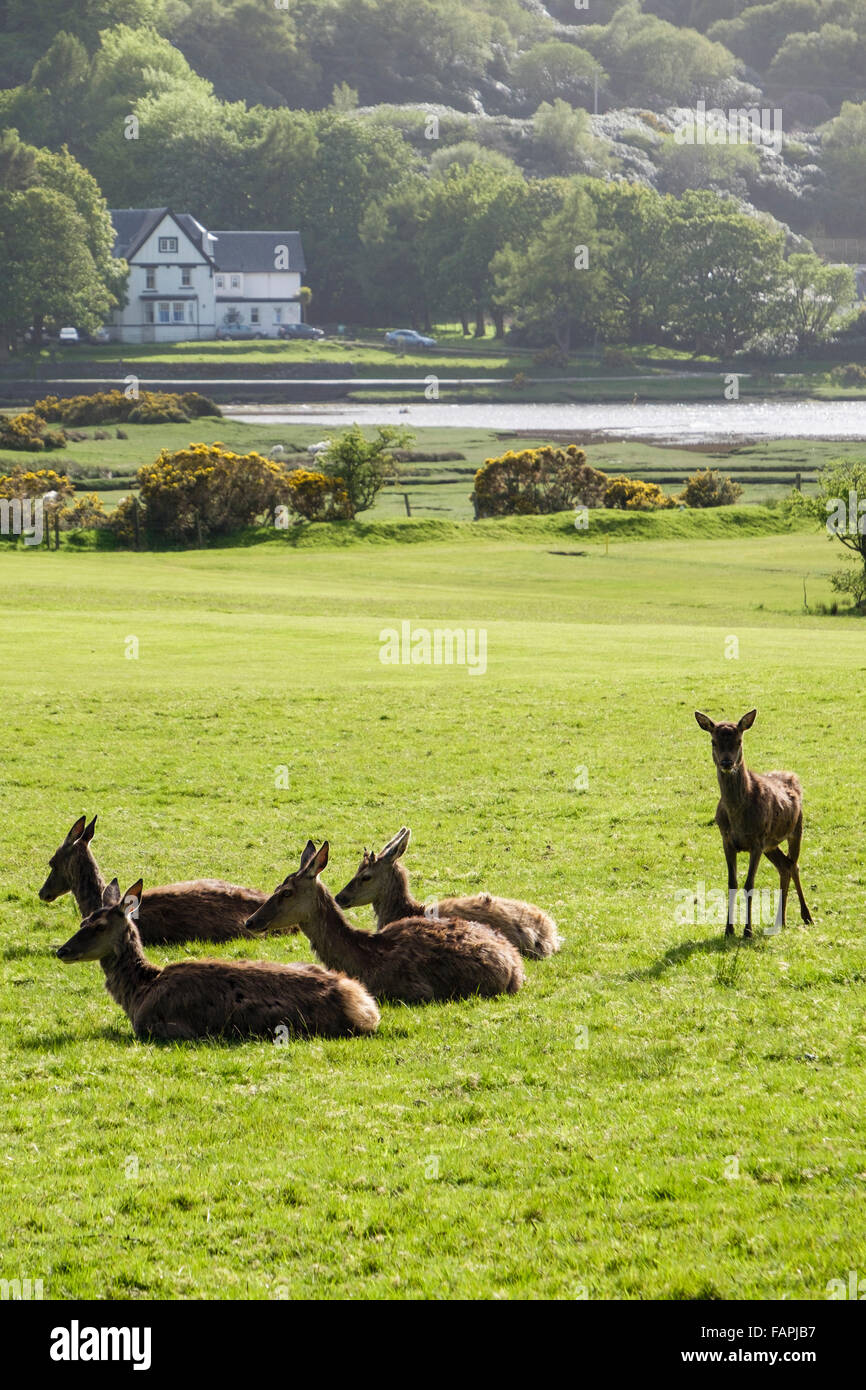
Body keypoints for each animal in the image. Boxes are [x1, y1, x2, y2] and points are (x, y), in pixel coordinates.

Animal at [54, 878, 378, 1045]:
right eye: (83, 919)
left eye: (99, 926)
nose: (62, 951)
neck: (139, 993)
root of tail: (366, 1006)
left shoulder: (165, 1028)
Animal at [247, 839, 525, 1006]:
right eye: (276, 887)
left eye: (287, 892)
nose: (251, 921)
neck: (364, 961)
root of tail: (516, 966)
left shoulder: (414, 992)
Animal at [695, 711, 817, 939]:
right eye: (713, 741)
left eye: (739, 740)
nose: (727, 762)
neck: (737, 817)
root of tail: (793, 776)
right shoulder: (727, 840)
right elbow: (732, 883)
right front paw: (728, 929)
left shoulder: (757, 842)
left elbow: (749, 884)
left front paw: (747, 930)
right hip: (771, 845)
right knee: (785, 867)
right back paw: (781, 921)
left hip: (796, 829)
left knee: (794, 865)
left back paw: (807, 917)